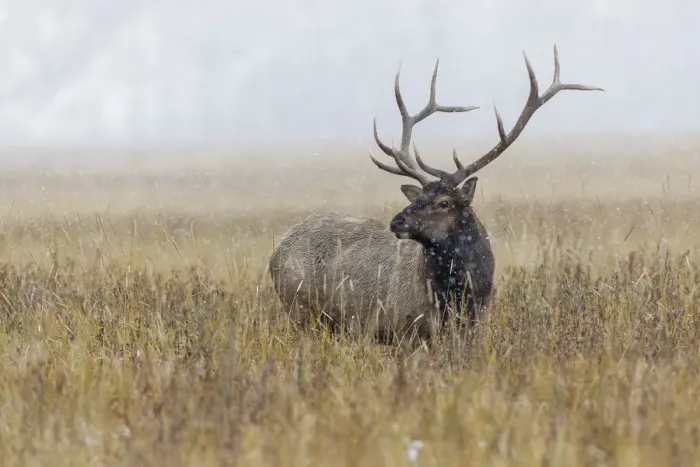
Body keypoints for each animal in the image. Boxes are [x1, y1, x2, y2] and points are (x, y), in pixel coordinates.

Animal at [268, 46, 602, 344]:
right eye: (415, 199)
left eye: (444, 203)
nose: (396, 222)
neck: (459, 296)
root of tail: (275, 252)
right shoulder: (404, 327)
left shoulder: (473, 325)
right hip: (300, 310)